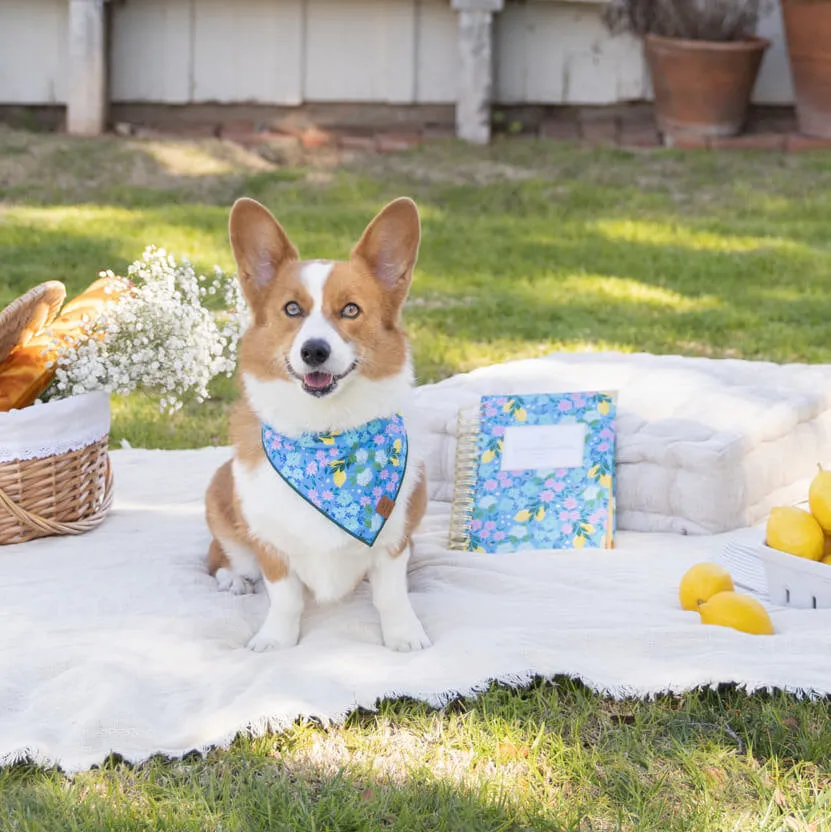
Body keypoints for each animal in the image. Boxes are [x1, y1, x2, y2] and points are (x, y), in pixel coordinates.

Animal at [206, 195, 432, 648]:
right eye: (292, 309)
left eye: (351, 310)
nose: (314, 351)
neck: (327, 436)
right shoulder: (271, 546)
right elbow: (285, 598)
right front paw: (275, 640)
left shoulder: (395, 541)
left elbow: (391, 595)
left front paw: (405, 635)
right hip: (219, 496)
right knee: (219, 557)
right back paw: (234, 580)